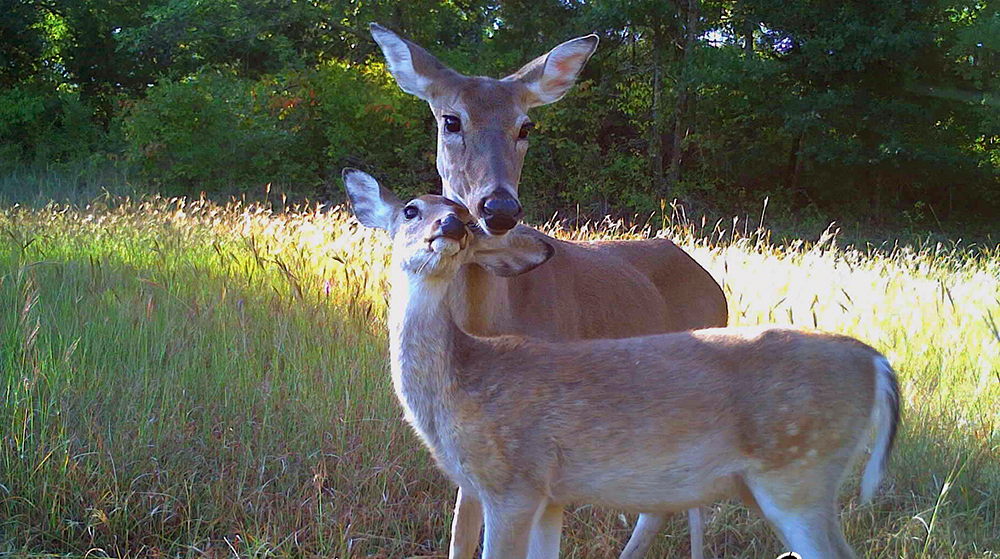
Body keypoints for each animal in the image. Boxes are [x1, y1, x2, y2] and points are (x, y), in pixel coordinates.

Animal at [342, 169, 900, 559]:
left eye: (466, 214)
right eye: (410, 209)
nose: (452, 225)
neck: (461, 380)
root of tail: (875, 362)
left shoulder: (513, 481)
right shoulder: (551, 495)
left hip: (800, 470)